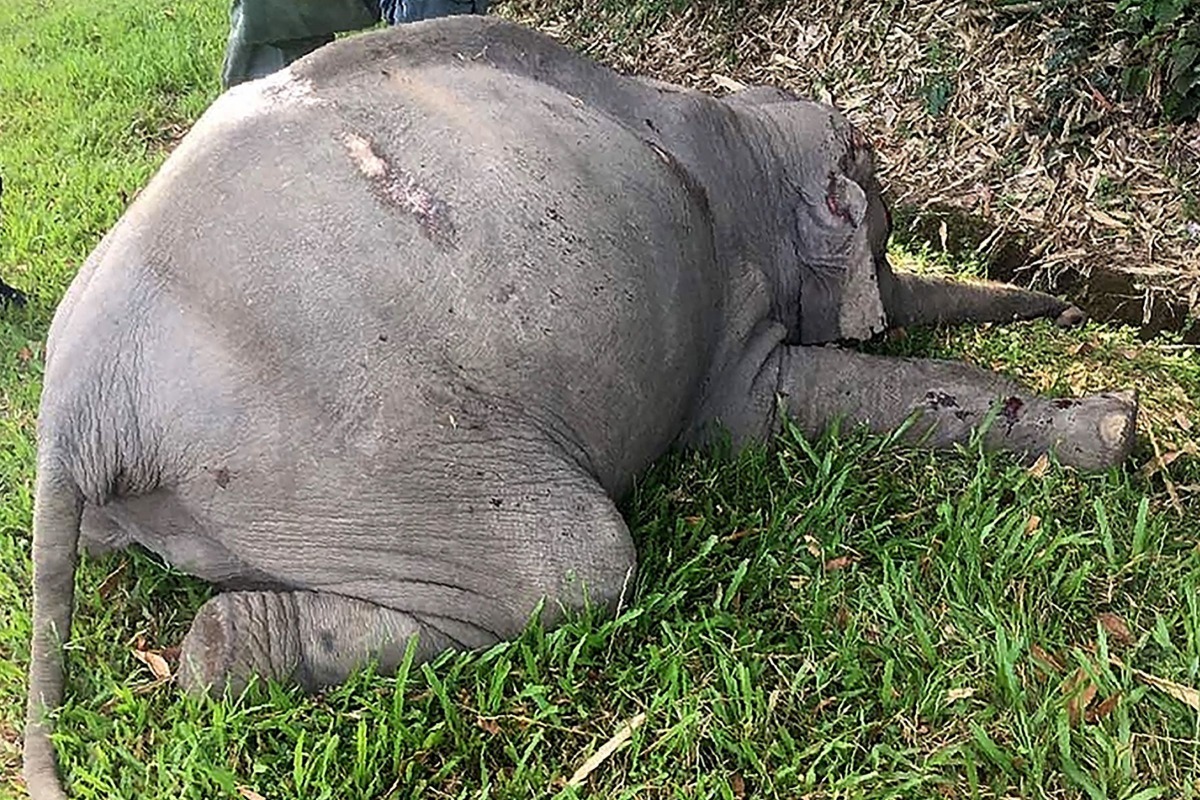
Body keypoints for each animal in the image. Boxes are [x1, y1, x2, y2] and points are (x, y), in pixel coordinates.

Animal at [23, 15, 1137, 799]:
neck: (738, 125)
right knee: (579, 564)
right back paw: (229, 645)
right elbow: (770, 413)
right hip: (347, 451)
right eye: (884, 227)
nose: (1068, 303)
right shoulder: (728, 318)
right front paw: (1112, 428)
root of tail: (79, 406)